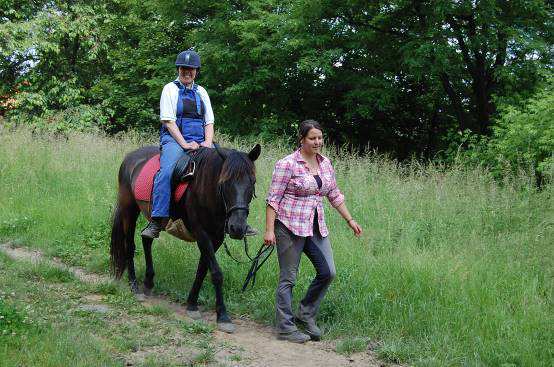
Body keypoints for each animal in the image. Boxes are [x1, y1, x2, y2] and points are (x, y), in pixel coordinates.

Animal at [111, 144, 262, 334]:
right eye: (224, 183)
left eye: (252, 182)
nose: (238, 228)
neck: (206, 188)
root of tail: (130, 157)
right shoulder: (201, 233)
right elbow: (216, 273)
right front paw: (223, 316)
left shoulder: (216, 237)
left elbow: (202, 270)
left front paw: (191, 304)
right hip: (129, 209)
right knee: (129, 246)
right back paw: (134, 287)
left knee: (146, 238)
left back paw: (148, 282)